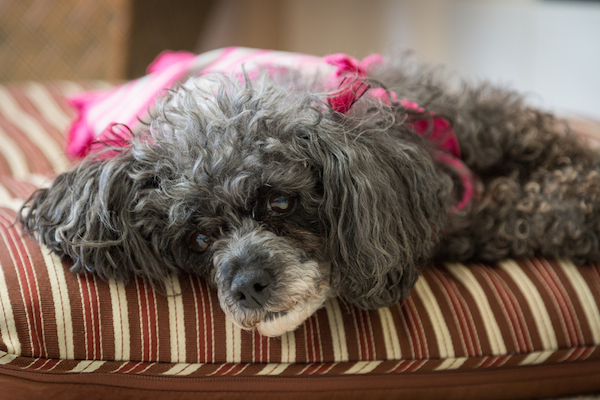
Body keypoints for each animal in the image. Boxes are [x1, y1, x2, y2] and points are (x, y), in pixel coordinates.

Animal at [17, 50, 600, 338]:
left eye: (280, 202)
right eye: (199, 240)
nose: (247, 284)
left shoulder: (477, 122)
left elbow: (541, 143)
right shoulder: (462, 217)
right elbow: (530, 209)